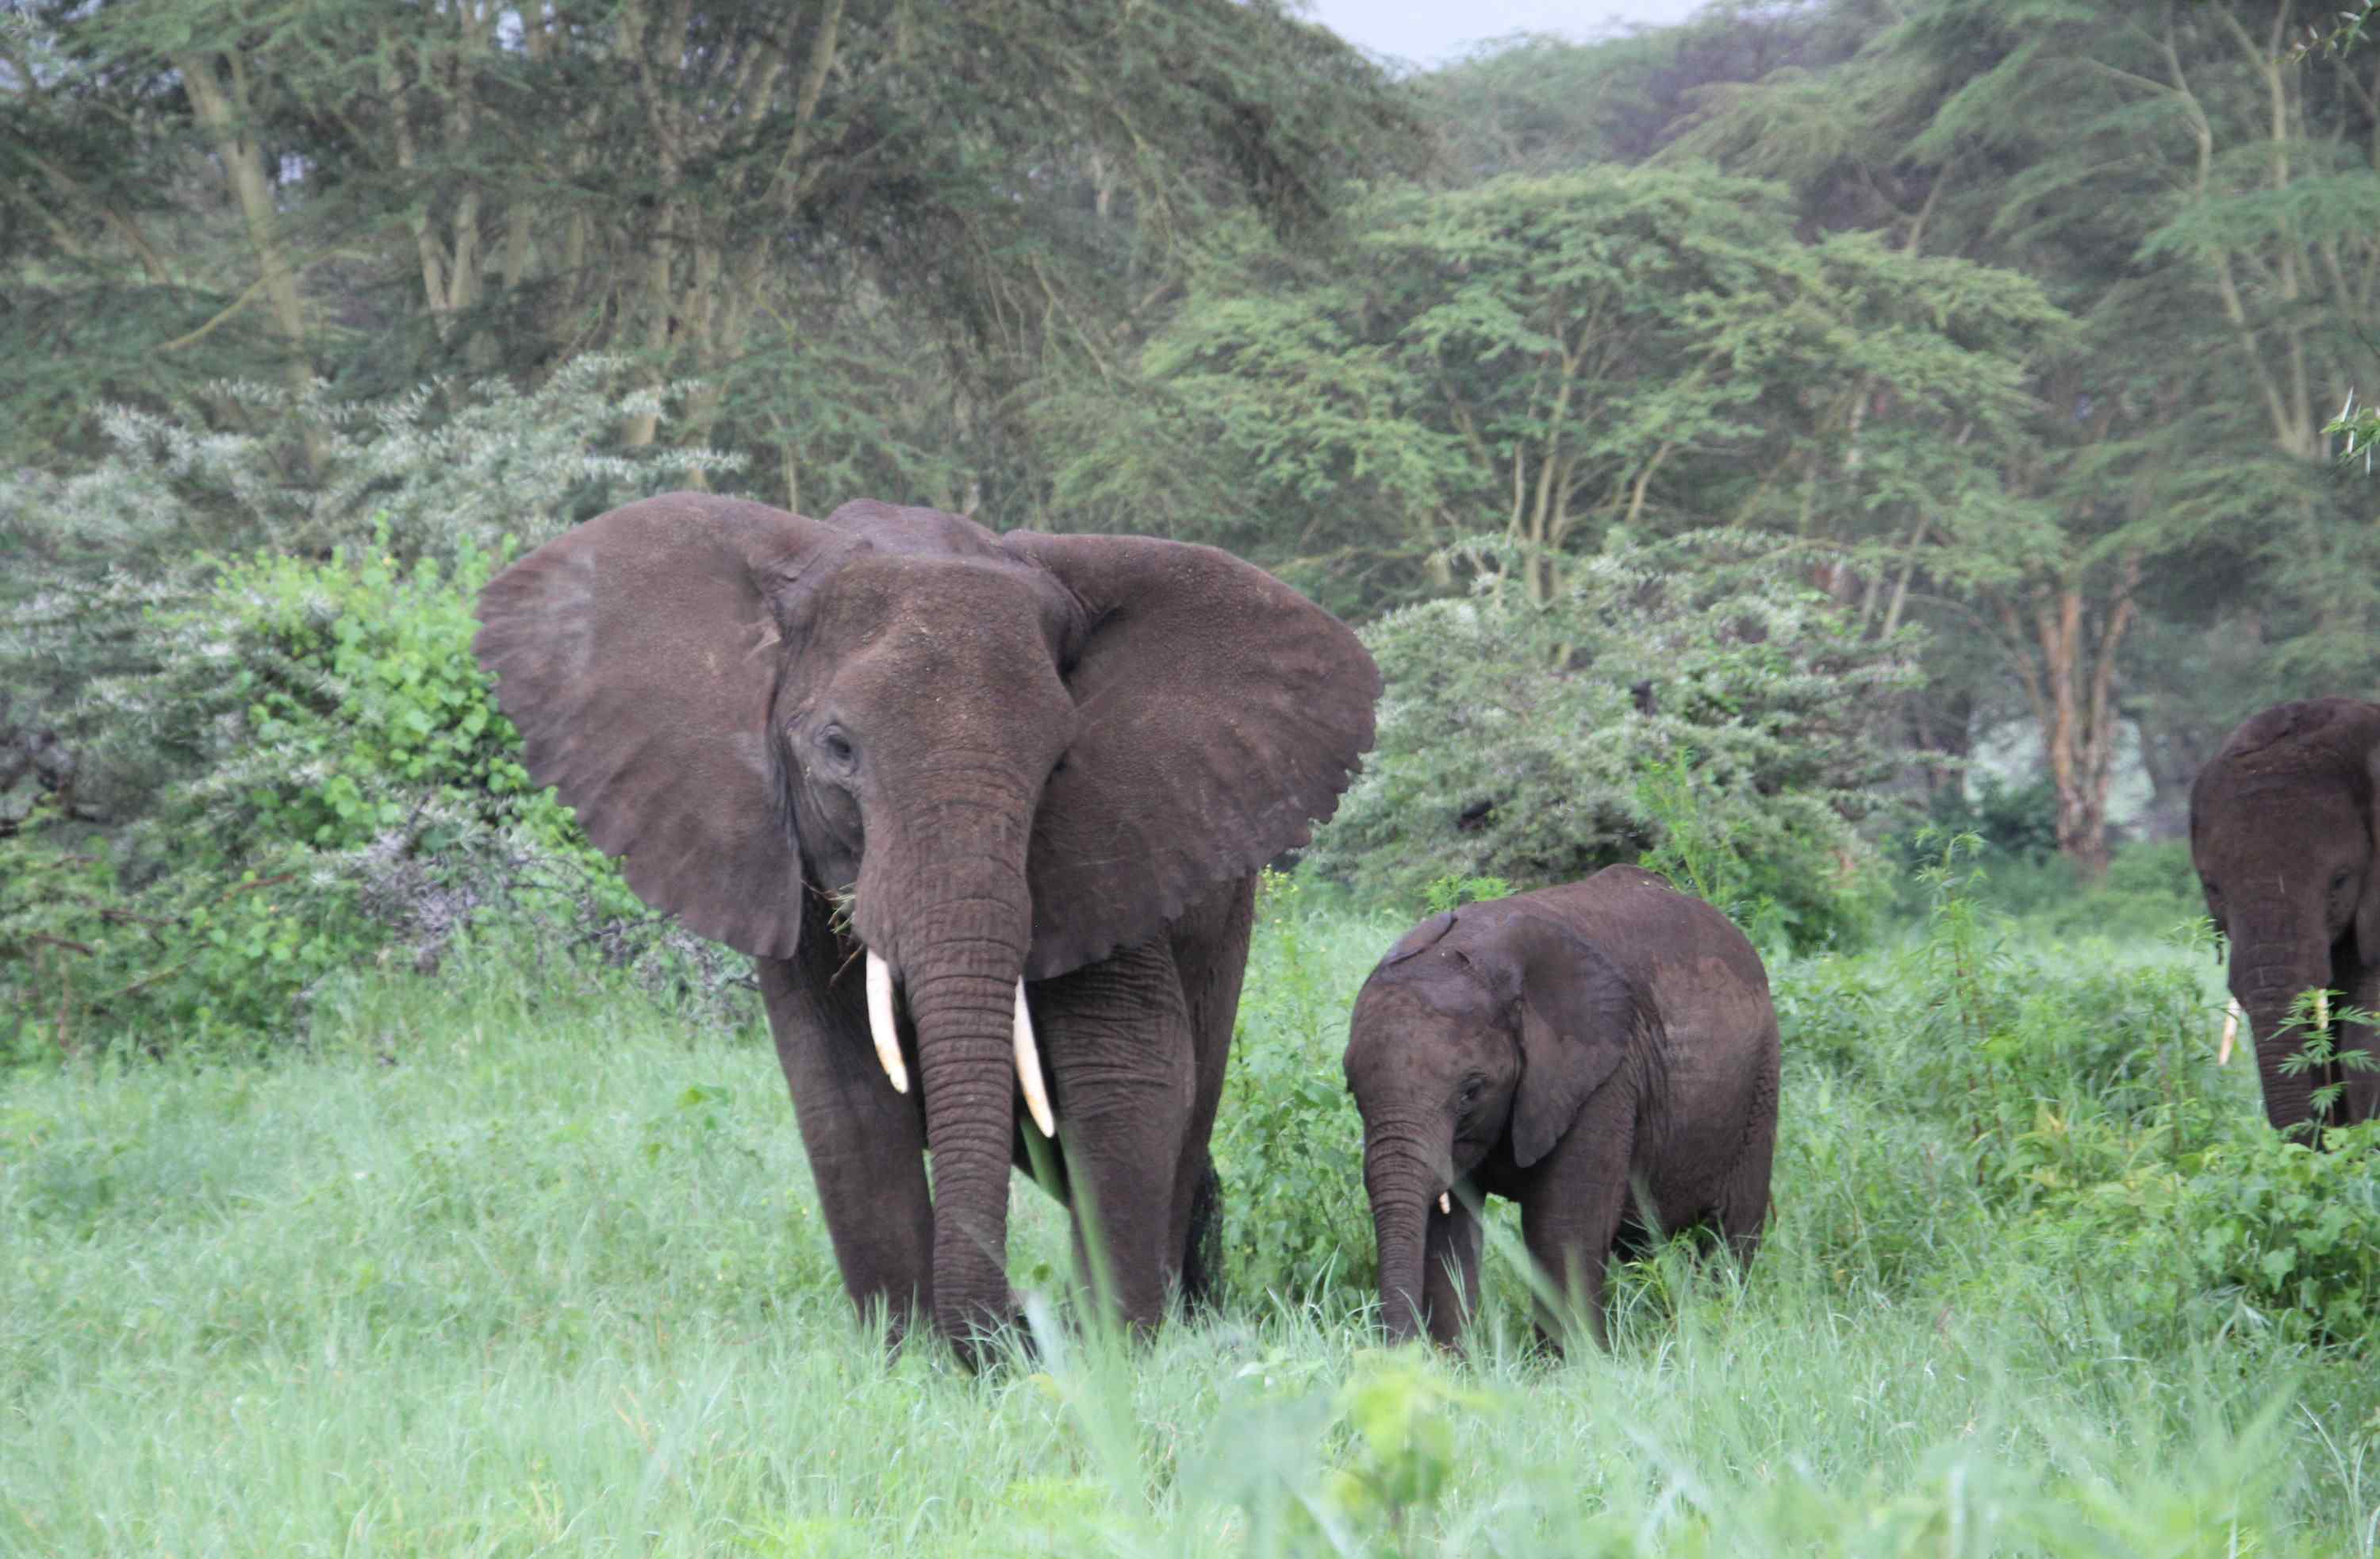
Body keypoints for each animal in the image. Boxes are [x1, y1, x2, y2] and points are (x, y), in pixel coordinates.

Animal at [469, 490, 1380, 1371]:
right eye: (838, 749)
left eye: (1058, 764)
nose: (1016, 1330)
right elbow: (844, 1097)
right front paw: (912, 1362)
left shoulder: (1121, 842)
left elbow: (1127, 1071)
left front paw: (1113, 1354)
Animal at [1352, 866, 1780, 1352]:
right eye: (1353, 1093)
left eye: (1471, 1092)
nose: (1396, 1350)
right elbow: (1450, 1232)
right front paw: (1454, 1363)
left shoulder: (1605, 1078)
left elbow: (1562, 1228)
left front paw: (1574, 1365)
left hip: (1759, 1082)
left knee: (1731, 1232)